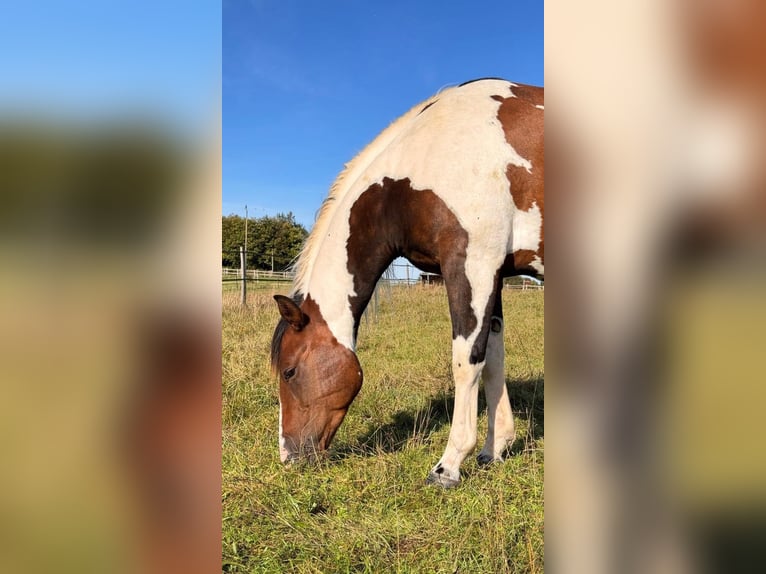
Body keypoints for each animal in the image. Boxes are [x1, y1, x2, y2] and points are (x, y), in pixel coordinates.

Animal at [270, 78, 544, 487]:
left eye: (289, 372)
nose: (289, 456)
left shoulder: (472, 264)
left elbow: (467, 360)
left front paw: (449, 465)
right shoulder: (493, 274)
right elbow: (493, 359)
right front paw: (494, 450)